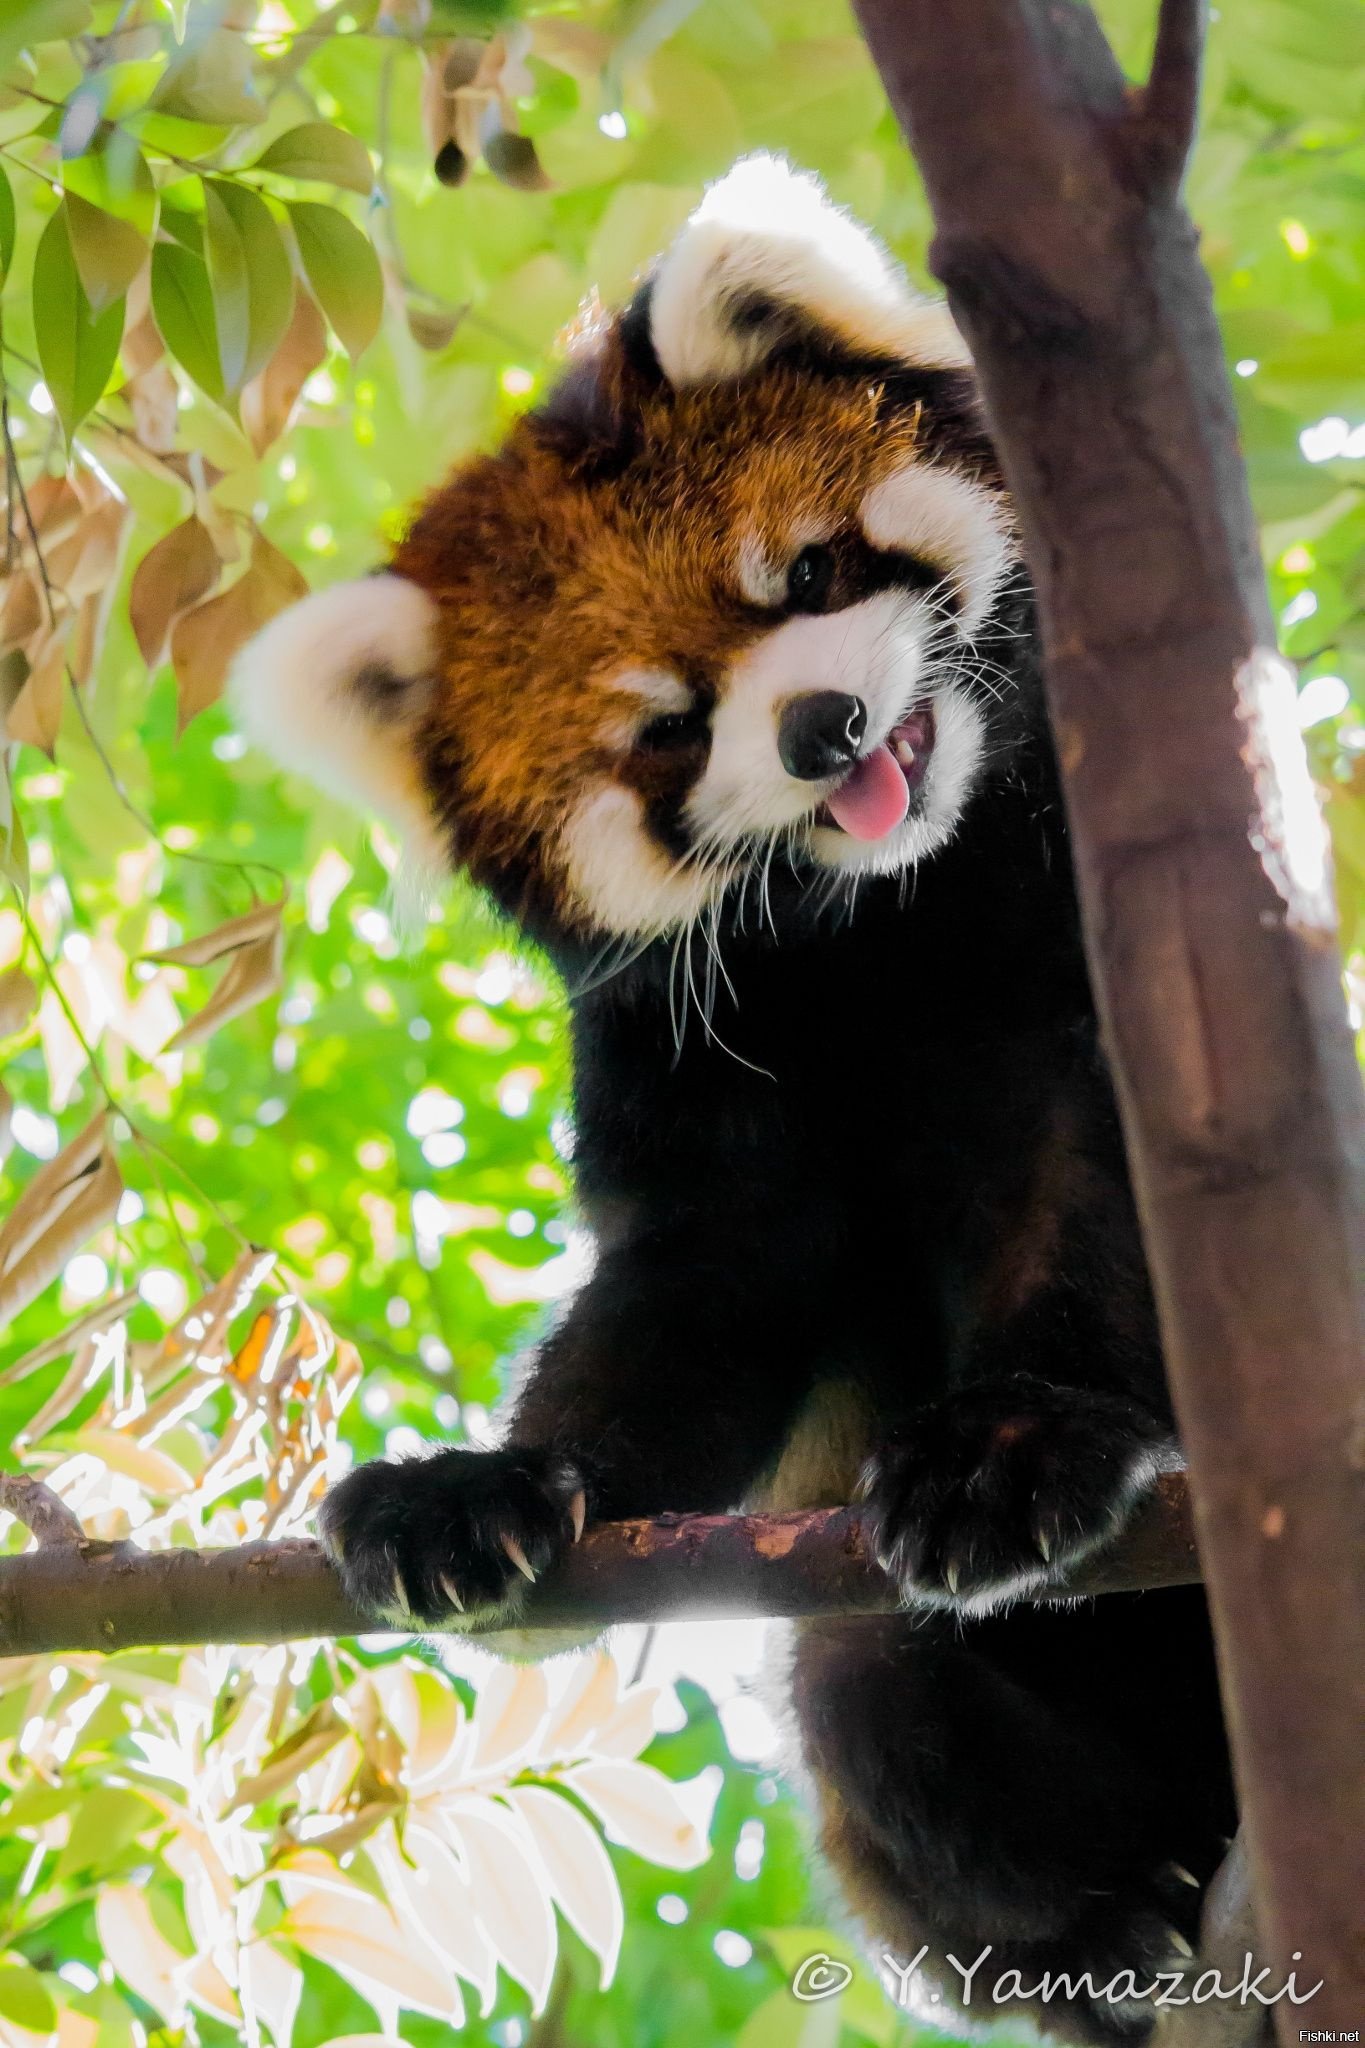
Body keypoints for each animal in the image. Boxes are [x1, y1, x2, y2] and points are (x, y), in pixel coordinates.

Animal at [235, 155, 1236, 2031]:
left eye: (812, 570)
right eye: (667, 733)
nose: (826, 726)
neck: (897, 915)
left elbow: (1105, 1196)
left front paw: (1020, 1440)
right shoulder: (687, 1059)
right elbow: (700, 1299)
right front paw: (484, 1490)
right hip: (889, 1726)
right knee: (871, 1687)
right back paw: (1103, 1930)